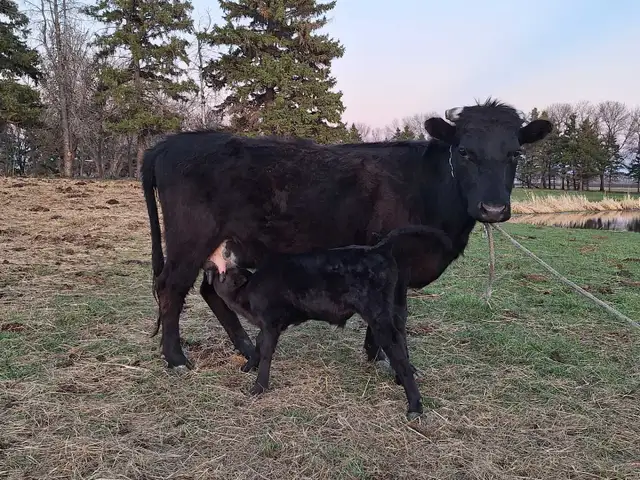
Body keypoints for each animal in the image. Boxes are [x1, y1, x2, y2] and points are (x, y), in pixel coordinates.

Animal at [141, 98, 553, 374]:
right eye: (465, 151)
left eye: (515, 153)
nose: (493, 209)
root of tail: (172, 142)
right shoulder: (391, 257)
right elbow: (395, 314)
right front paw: (386, 357)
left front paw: (376, 354)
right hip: (189, 238)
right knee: (171, 288)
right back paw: (177, 359)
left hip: (223, 245)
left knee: (210, 290)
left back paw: (246, 349)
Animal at [207, 225, 454, 419]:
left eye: (225, 271)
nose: (211, 263)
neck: (249, 290)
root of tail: (378, 249)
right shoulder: (269, 326)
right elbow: (258, 344)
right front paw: (248, 366)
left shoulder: (270, 323)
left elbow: (266, 351)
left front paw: (258, 387)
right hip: (392, 309)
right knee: (401, 338)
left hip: (378, 316)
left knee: (397, 351)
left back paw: (414, 406)